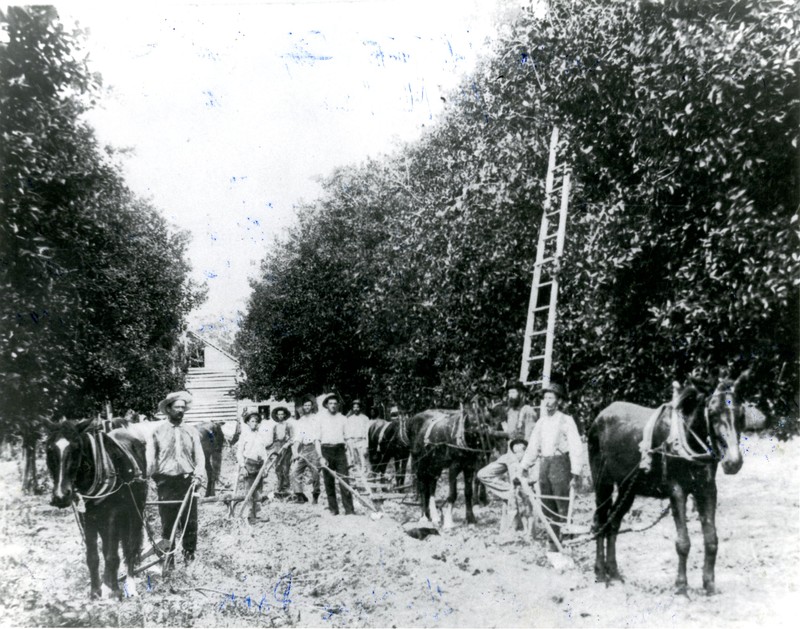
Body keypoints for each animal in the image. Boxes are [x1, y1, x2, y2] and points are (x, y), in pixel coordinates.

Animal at [44, 418, 148, 600]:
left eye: (76, 448)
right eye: (49, 449)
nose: (61, 496)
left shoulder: (114, 513)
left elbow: (112, 555)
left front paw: (112, 591)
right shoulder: (87, 517)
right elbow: (93, 556)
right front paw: (96, 591)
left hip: (135, 511)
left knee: (130, 548)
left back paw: (130, 585)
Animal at [412, 400, 500, 528]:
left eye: (490, 421)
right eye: (475, 424)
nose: (489, 447)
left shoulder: (468, 467)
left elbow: (468, 492)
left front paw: (470, 518)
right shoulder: (454, 467)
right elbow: (452, 494)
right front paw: (449, 522)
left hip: (435, 466)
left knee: (431, 487)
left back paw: (434, 517)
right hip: (420, 465)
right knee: (422, 487)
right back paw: (424, 516)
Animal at [588, 370, 752, 596]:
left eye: (741, 413)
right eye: (712, 412)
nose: (733, 462)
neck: (687, 439)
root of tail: (601, 415)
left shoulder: (707, 490)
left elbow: (711, 539)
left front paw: (709, 585)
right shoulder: (677, 491)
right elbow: (683, 542)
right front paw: (681, 586)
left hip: (627, 488)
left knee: (613, 523)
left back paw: (614, 573)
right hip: (602, 483)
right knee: (600, 522)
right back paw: (600, 573)